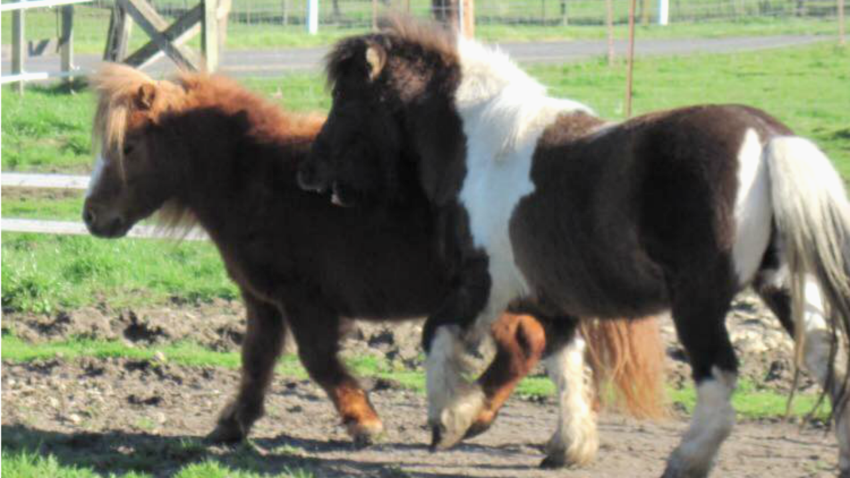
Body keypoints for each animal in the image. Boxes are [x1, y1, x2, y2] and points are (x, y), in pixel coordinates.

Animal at [86, 62, 664, 448]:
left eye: (128, 146)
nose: (92, 216)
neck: (257, 178)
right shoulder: (263, 302)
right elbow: (256, 362)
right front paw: (231, 425)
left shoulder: (305, 302)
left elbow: (318, 361)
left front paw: (365, 422)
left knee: (524, 345)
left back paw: (471, 416)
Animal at [296, 17, 848, 474]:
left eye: (344, 100)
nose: (309, 173)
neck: (483, 147)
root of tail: (769, 139)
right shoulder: (554, 302)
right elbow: (566, 367)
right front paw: (568, 448)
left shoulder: (483, 284)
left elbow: (437, 335)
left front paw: (449, 419)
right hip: (784, 287)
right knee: (829, 360)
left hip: (699, 301)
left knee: (719, 377)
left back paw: (686, 460)